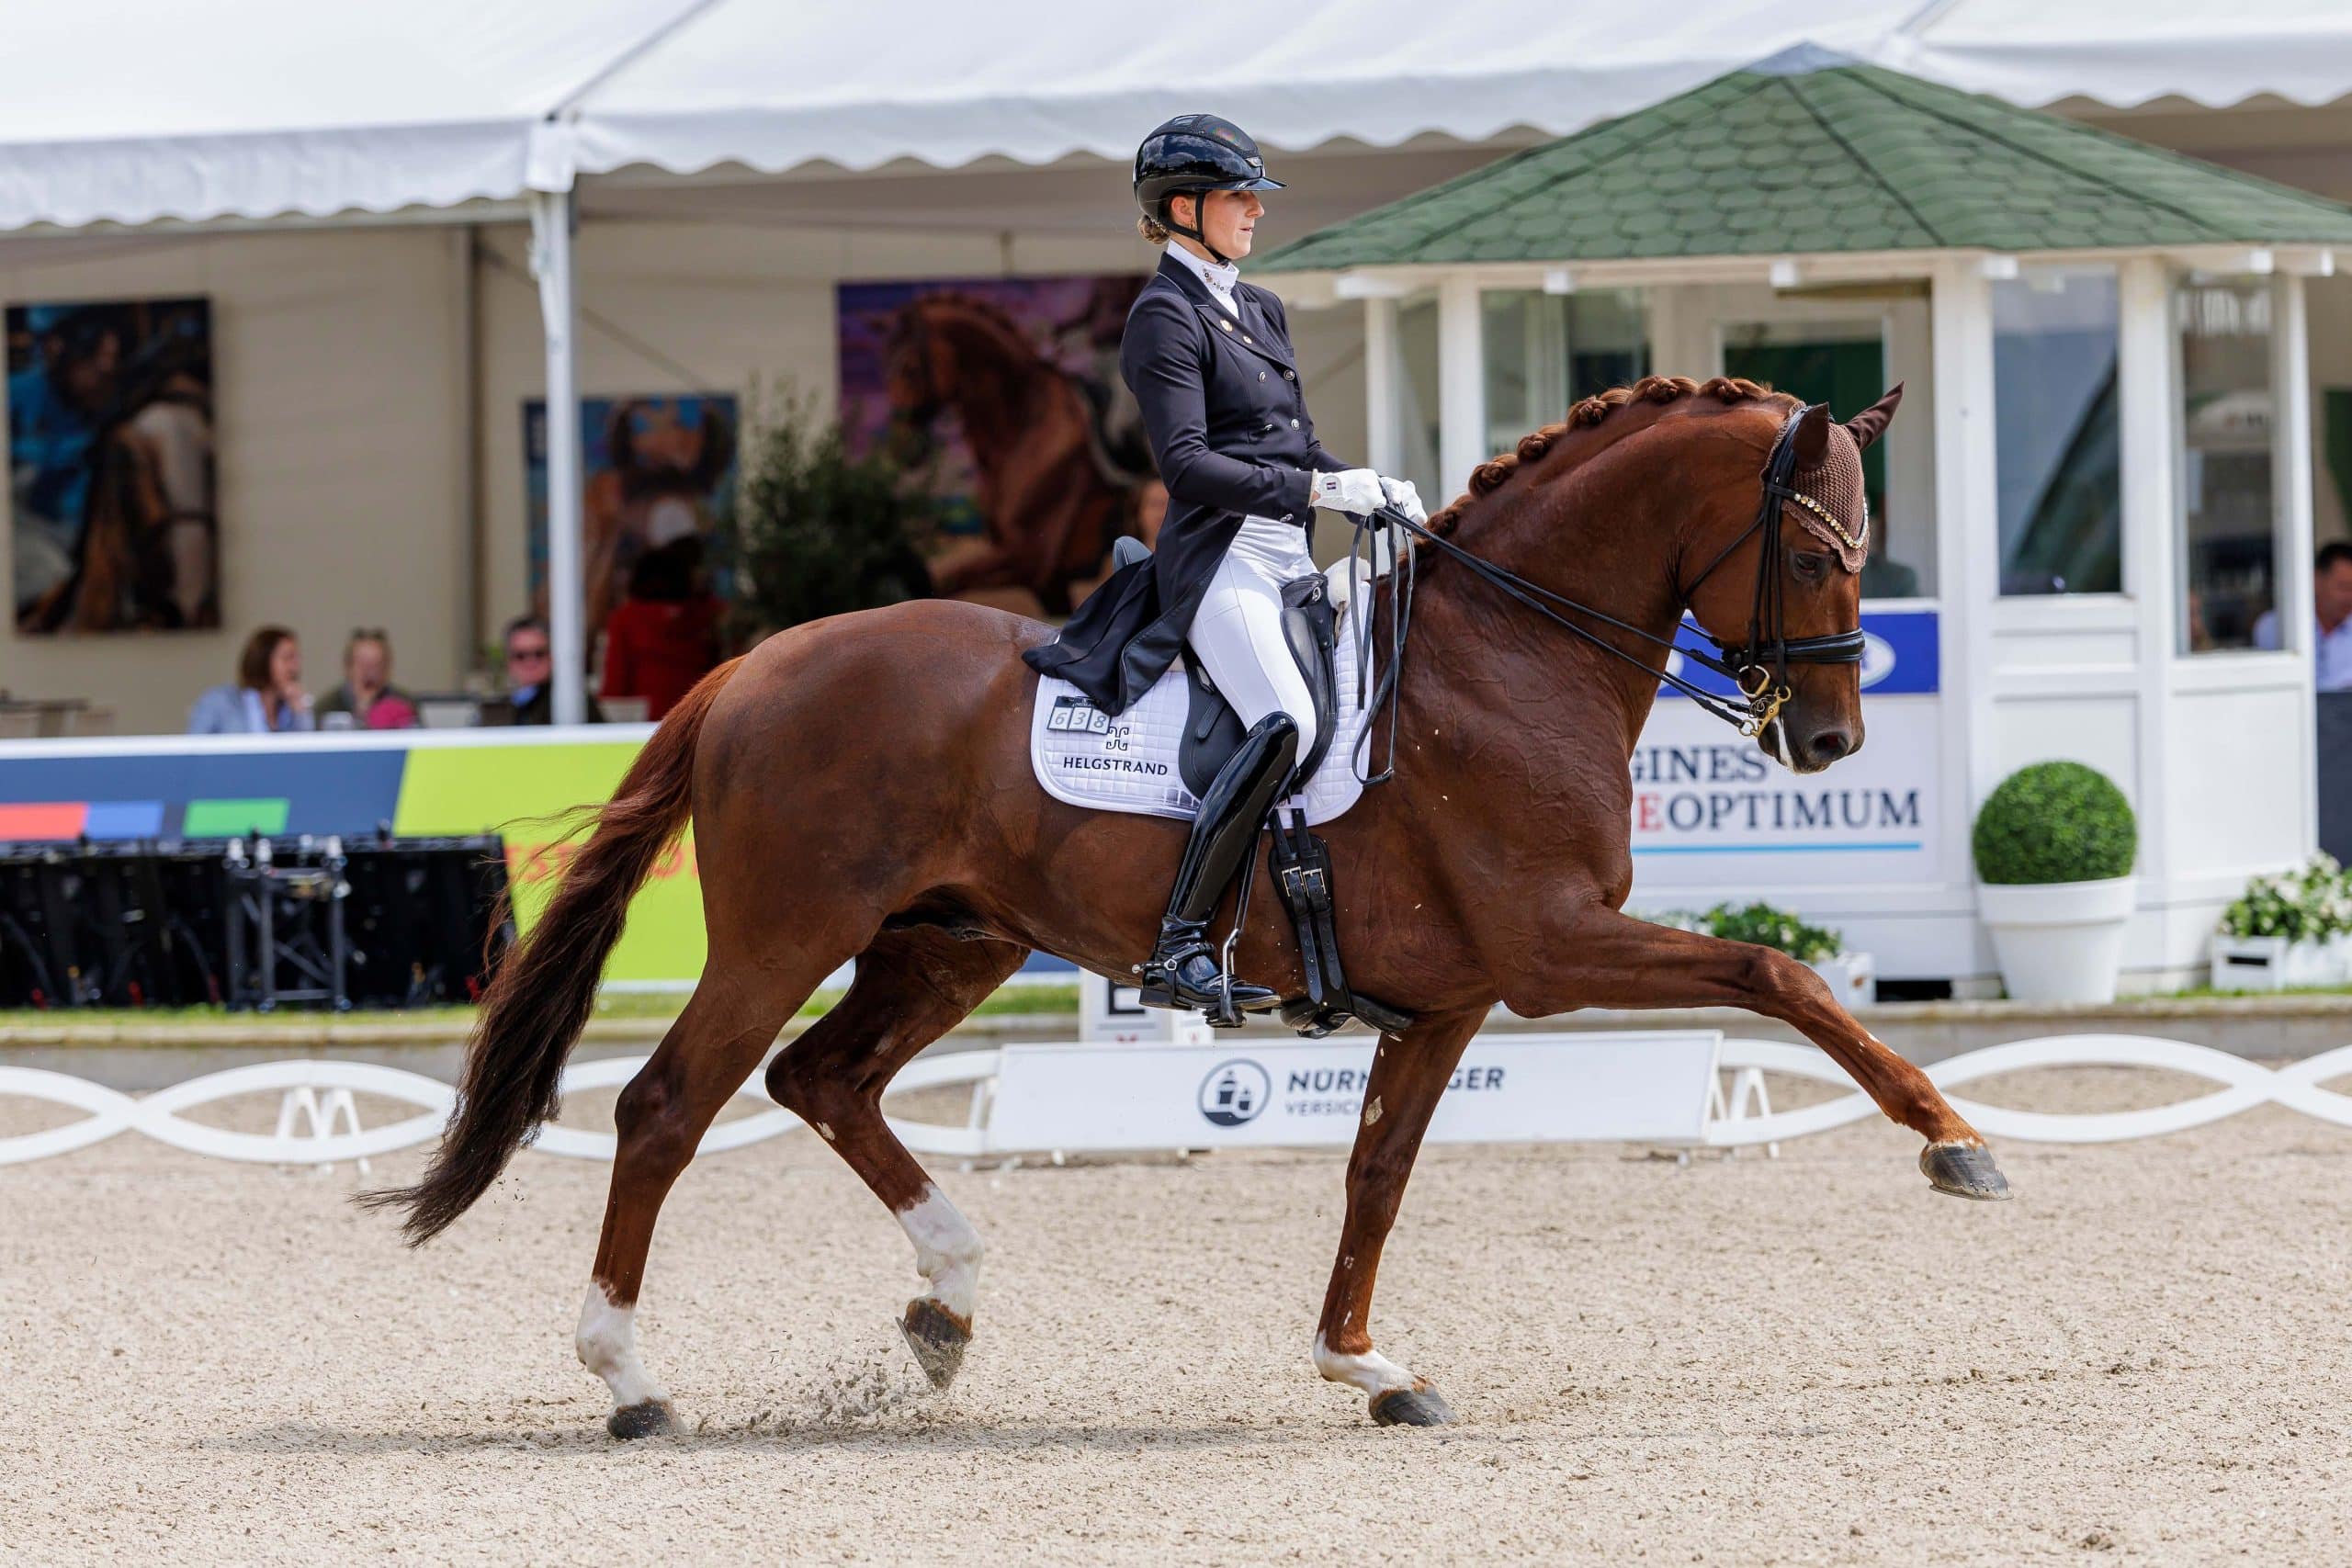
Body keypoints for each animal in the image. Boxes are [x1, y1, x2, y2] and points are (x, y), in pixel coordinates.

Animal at [376, 376, 2013, 1438]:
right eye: (1810, 547)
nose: (1830, 742)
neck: (1509, 653)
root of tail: (753, 661)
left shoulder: (1455, 993)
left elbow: (1375, 1174)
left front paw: (1366, 1365)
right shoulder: (1552, 948)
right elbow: (1780, 975)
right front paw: (1956, 1143)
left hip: (954, 940)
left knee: (822, 1077)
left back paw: (946, 1302)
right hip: (791, 931)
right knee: (669, 1104)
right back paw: (633, 1379)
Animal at [884, 293, 1138, 611]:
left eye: (910, 370)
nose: (900, 448)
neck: (1020, 432)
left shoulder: (1029, 557)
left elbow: (947, 579)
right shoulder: (1047, 582)